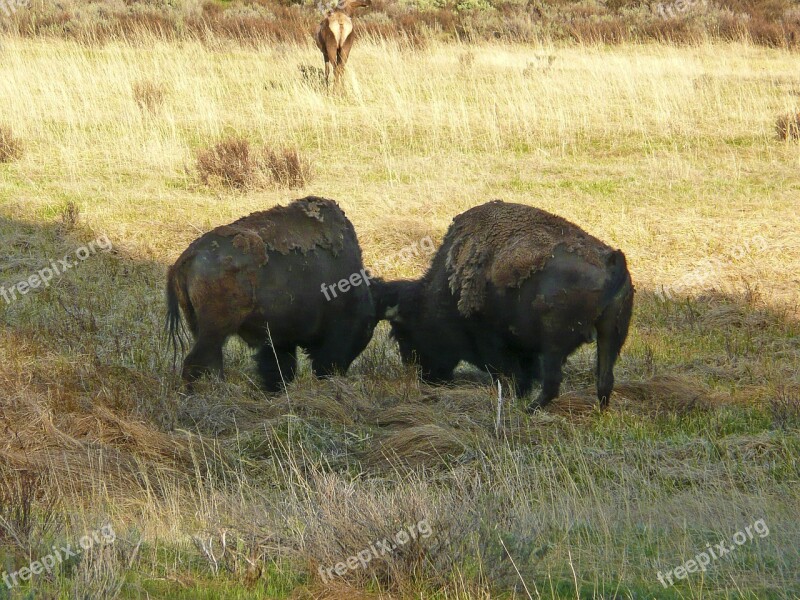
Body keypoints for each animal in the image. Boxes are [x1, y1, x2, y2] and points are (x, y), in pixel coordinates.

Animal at [166, 197, 378, 392]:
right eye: (367, 325)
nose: (335, 372)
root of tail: (189, 255)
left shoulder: (278, 339)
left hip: (206, 331)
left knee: (212, 362)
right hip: (215, 330)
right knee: (195, 363)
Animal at [372, 199, 636, 410]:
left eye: (404, 334)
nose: (425, 377)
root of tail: (612, 260)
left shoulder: (493, 342)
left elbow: (508, 373)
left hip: (554, 343)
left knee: (553, 382)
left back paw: (530, 410)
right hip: (611, 335)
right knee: (604, 381)